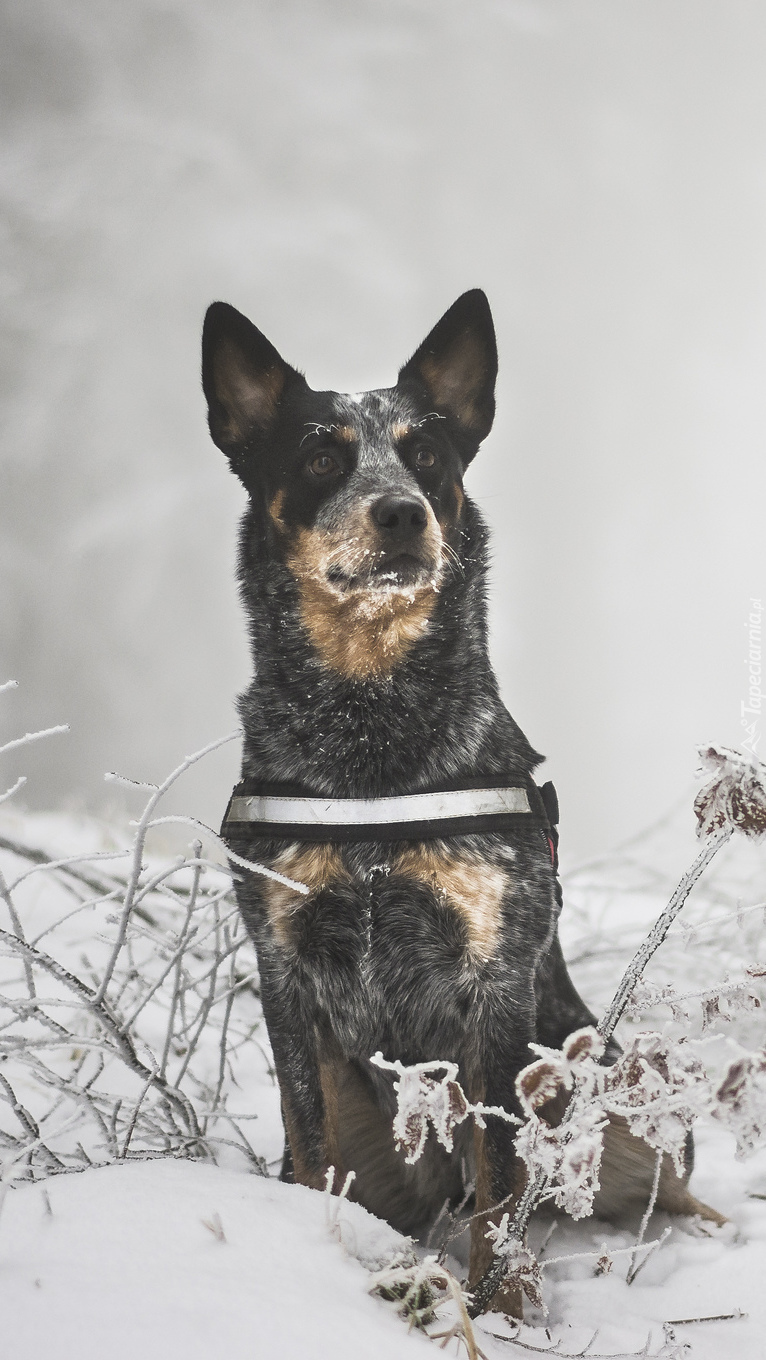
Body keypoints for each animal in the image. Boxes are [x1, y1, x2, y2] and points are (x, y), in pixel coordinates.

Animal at [200, 289, 723, 1316]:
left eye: (428, 456)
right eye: (321, 456)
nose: (401, 511)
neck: (369, 734)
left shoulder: (496, 979)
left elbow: (503, 1174)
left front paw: (505, 1314)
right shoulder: (283, 972)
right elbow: (307, 1142)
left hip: (608, 1075)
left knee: (658, 1187)